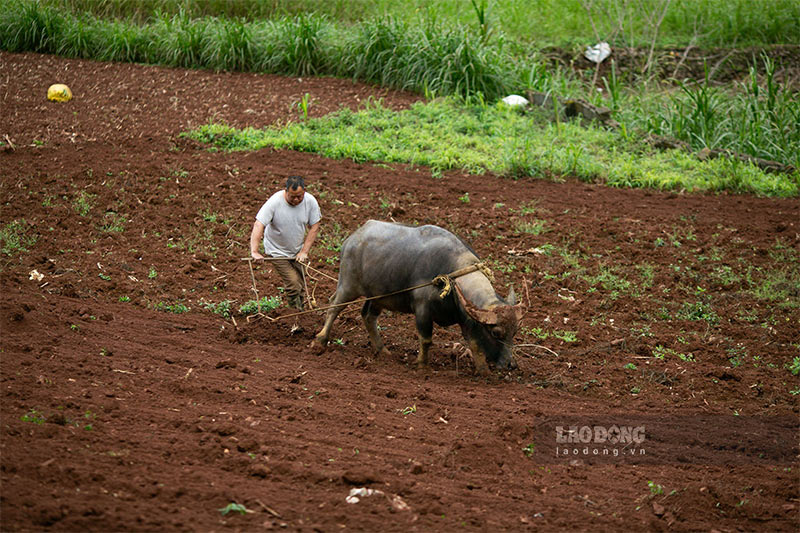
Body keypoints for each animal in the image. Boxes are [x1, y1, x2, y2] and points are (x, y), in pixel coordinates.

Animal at [312, 220, 524, 374]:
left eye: (514, 332)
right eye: (496, 332)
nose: (510, 364)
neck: (452, 275)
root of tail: (352, 238)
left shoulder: (466, 319)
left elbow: (474, 344)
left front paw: (483, 371)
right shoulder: (423, 310)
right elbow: (426, 339)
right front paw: (422, 365)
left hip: (378, 295)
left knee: (368, 316)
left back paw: (382, 350)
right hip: (348, 285)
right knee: (334, 307)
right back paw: (320, 340)